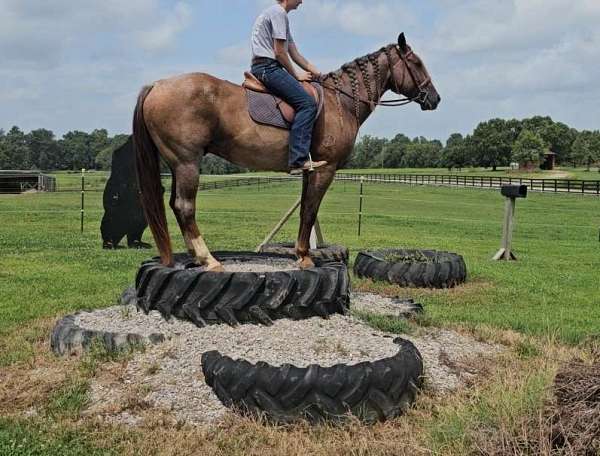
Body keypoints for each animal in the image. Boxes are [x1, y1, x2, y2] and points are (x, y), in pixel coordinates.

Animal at [132, 33, 440, 272]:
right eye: (416, 63)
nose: (435, 98)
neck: (339, 102)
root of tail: (157, 85)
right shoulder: (325, 170)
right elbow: (309, 211)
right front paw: (304, 257)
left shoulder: (309, 170)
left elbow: (305, 210)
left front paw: (301, 253)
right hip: (187, 162)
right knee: (185, 207)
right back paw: (208, 259)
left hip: (178, 165)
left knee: (175, 205)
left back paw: (196, 258)